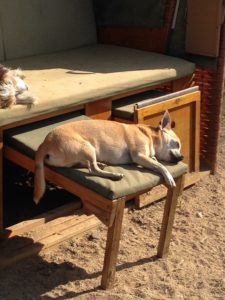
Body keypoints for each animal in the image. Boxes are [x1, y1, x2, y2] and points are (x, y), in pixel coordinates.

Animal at [34, 111, 184, 205]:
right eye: (177, 144)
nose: (182, 157)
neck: (149, 136)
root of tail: (45, 142)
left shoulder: (147, 157)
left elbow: (155, 161)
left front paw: (155, 160)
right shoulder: (139, 156)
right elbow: (161, 166)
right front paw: (169, 177)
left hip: (82, 154)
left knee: (86, 165)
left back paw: (101, 164)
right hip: (88, 147)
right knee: (92, 169)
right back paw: (114, 175)